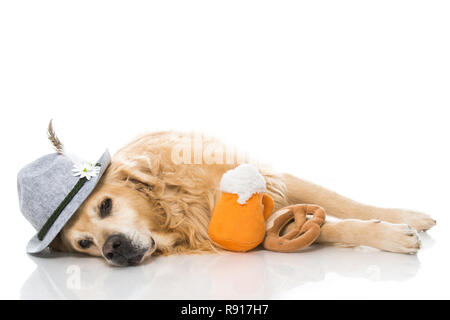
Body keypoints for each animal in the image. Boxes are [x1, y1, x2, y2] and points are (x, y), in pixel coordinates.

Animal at [49, 131, 436, 266]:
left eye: (105, 205)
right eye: (84, 243)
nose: (110, 249)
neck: (177, 204)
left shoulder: (276, 179)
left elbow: (343, 201)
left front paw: (408, 216)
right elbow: (330, 225)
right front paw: (390, 235)